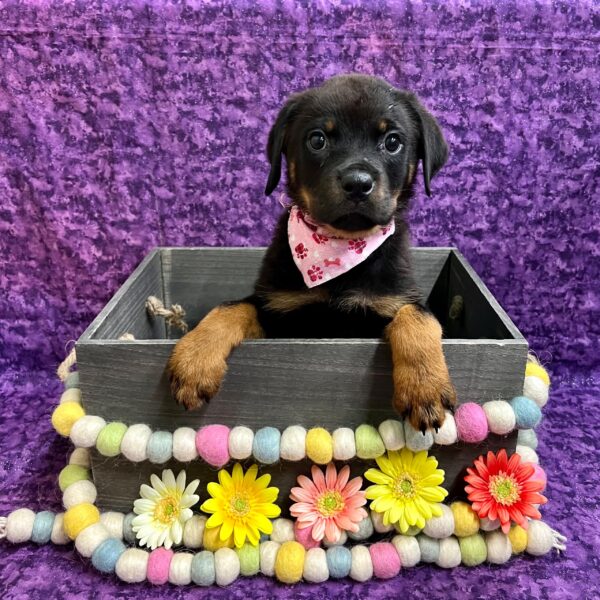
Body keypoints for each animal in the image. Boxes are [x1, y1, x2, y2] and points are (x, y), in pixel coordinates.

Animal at [166, 75, 458, 432]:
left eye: (392, 142)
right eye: (317, 140)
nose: (357, 183)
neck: (339, 250)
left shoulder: (392, 300)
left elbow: (418, 316)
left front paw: (424, 387)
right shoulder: (277, 312)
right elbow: (232, 307)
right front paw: (194, 360)